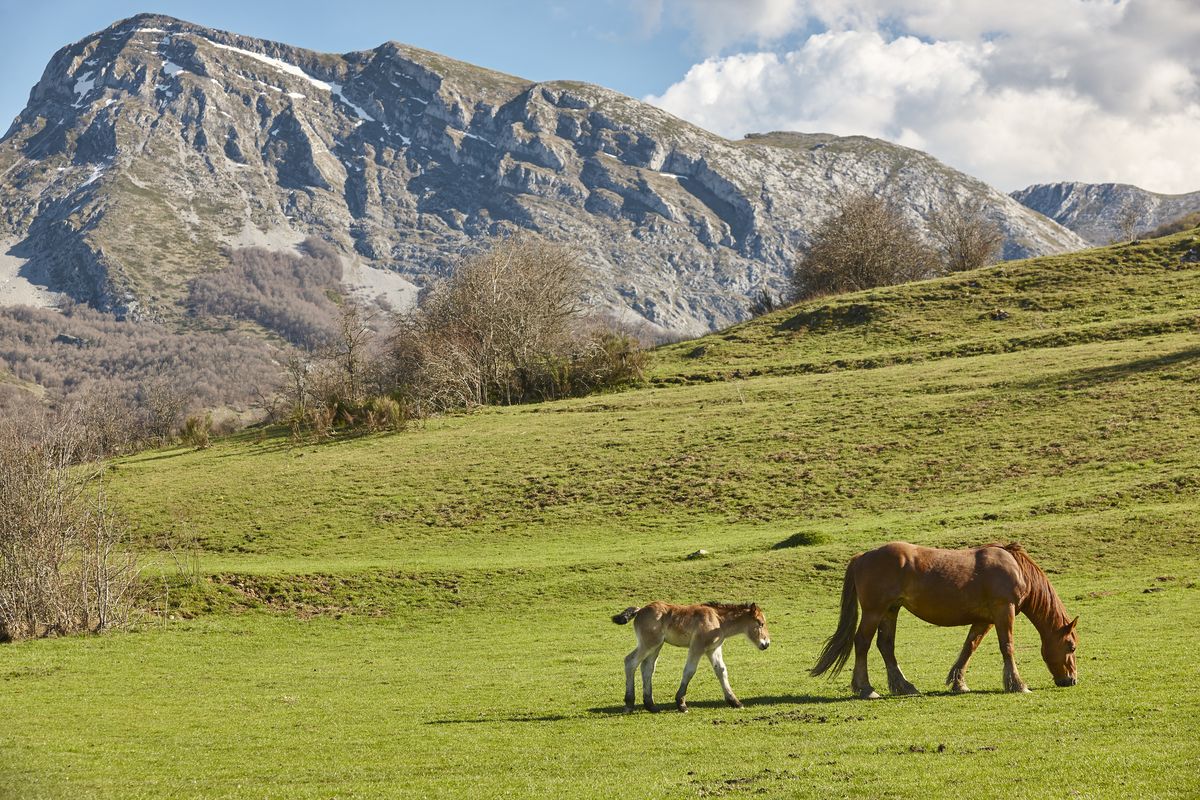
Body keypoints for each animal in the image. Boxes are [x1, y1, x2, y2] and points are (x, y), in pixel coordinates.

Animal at [612, 601, 771, 713]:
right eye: (760, 623)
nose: (766, 643)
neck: (718, 620)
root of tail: (640, 610)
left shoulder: (713, 649)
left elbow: (721, 671)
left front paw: (735, 702)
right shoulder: (697, 647)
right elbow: (689, 671)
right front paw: (681, 704)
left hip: (656, 645)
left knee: (647, 668)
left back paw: (651, 706)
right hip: (649, 643)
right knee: (630, 662)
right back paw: (629, 704)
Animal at [810, 542, 1078, 698]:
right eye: (1071, 646)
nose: (1071, 680)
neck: (1016, 568)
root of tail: (862, 556)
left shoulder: (984, 619)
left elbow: (969, 648)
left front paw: (959, 683)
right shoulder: (1004, 610)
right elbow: (1007, 647)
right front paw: (1017, 684)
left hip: (890, 610)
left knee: (885, 646)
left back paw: (905, 686)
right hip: (874, 611)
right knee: (862, 644)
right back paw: (866, 688)